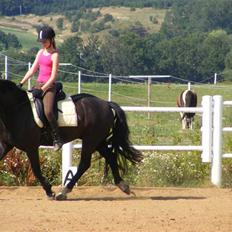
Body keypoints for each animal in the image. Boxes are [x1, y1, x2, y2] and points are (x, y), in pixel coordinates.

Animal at [0, 80, 142, 199]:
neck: (18, 109)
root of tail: (106, 104)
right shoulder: (6, 145)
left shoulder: (31, 147)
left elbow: (36, 170)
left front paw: (50, 191)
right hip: (98, 141)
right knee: (110, 157)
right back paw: (123, 186)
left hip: (90, 140)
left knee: (84, 164)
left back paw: (64, 191)